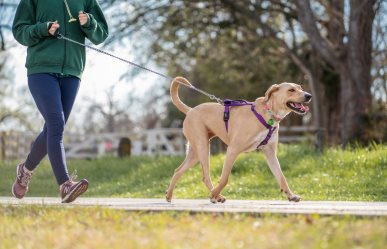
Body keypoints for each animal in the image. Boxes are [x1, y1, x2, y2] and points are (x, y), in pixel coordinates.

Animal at [166, 76, 312, 202]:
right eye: (291, 90)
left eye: (300, 87)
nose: (309, 95)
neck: (268, 113)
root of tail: (190, 110)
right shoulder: (232, 150)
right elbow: (224, 179)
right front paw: (213, 194)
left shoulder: (270, 153)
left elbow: (281, 177)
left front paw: (291, 195)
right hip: (203, 147)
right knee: (205, 177)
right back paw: (216, 195)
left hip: (195, 153)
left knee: (178, 170)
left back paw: (169, 195)